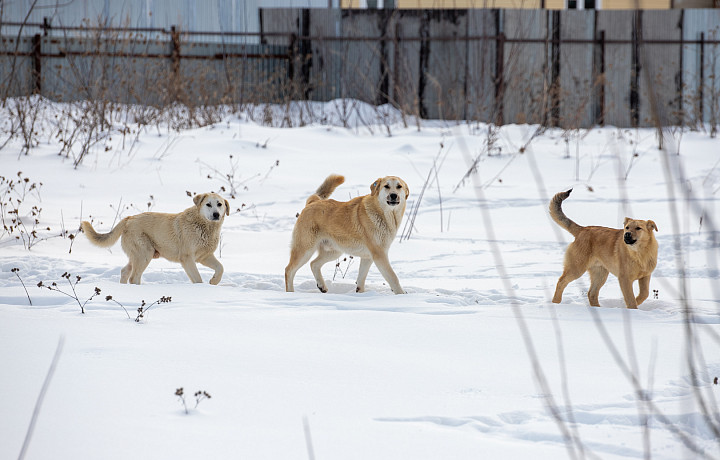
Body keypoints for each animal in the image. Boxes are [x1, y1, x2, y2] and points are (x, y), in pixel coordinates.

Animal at [81, 190, 228, 284]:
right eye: (208, 204)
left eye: (219, 204)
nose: (216, 214)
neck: (204, 227)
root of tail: (129, 218)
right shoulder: (187, 258)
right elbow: (197, 278)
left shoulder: (204, 256)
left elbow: (221, 267)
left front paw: (214, 281)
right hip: (145, 253)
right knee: (134, 278)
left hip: (138, 255)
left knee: (125, 271)